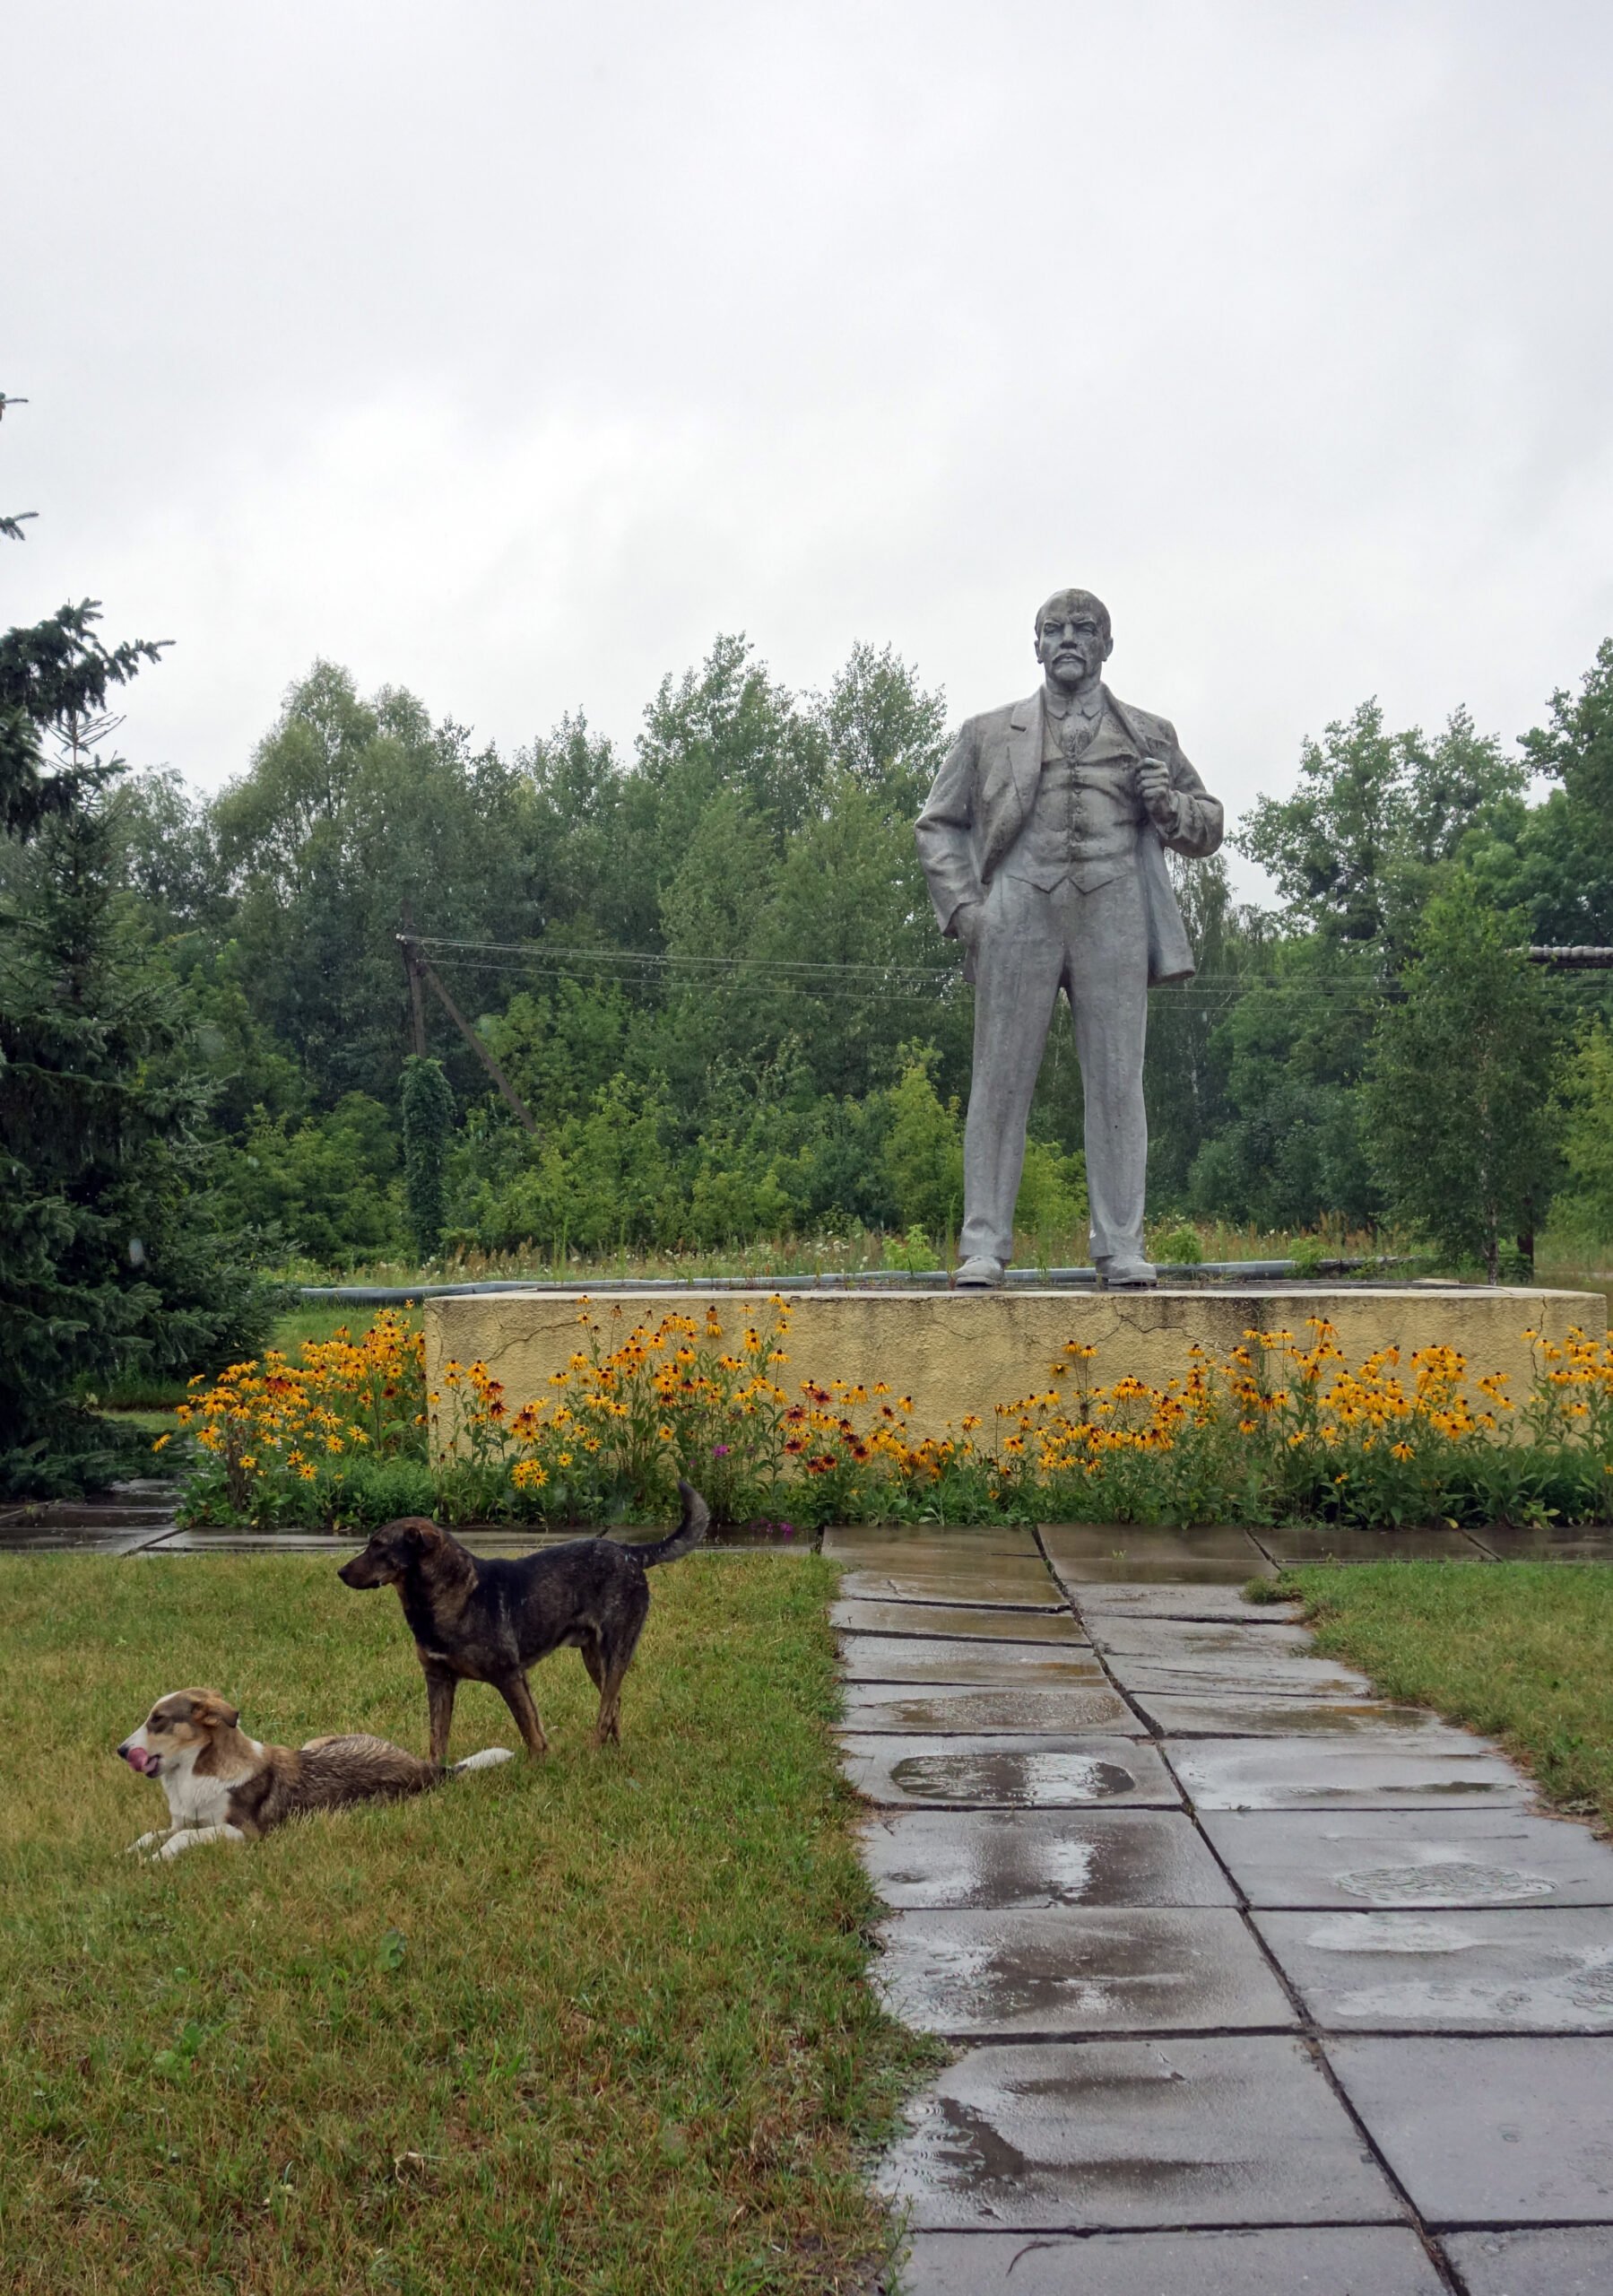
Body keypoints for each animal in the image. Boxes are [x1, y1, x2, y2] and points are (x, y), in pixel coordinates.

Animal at [117, 1690, 511, 1864]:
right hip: (315, 1742)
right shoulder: (181, 1819)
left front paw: (155, 1859)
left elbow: (183, 1838)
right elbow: (152, 1833)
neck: (195, 1773)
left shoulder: (245, 1832)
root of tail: (428, 1769)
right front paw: (128, 1851)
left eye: (158, 1720)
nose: (122, 1751)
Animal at [337, 1469, 711, 1753]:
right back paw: (612, 1751)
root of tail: (631, 1552)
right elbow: (437, 1739)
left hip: (616, 1649)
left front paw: (539, 1767)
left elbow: (529, 1730)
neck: (448, 1597)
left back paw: (593, 1753)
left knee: (606, 1708)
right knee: (614, 1702)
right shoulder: (439, 1680)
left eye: (378, 1546)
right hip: (593, 1657)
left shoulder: (509, 1676)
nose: (341, 1572)